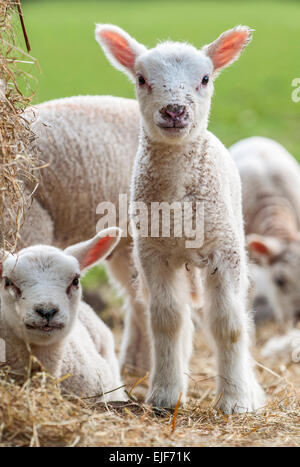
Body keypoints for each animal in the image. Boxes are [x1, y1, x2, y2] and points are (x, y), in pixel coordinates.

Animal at [96, 23, 264, 412]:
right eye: (141, 79)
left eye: (205, 78)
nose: (174, 111)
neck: (176, 207)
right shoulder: (153, 254)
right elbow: (167, 322)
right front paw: (165, 395)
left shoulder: (223, 251)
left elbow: (228, 324)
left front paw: (235, 401)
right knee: (185, 320)